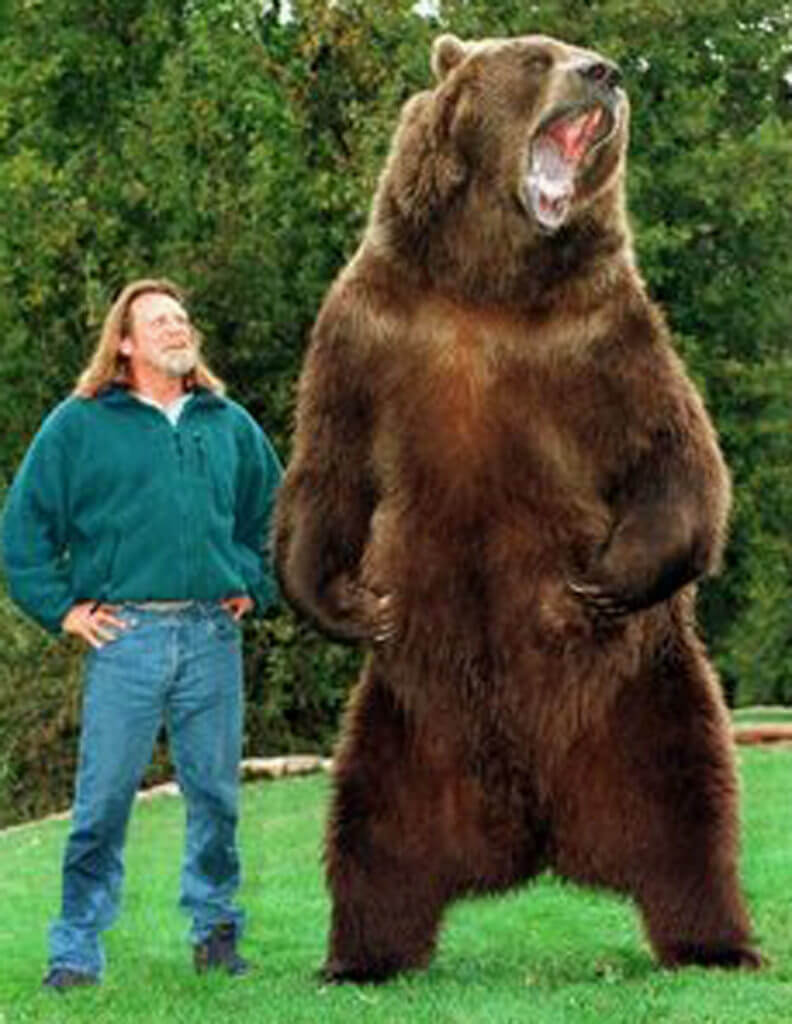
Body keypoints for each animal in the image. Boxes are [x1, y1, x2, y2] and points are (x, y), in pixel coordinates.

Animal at [274, 32, 761, 981]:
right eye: (538, 55)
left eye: (581, 52)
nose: (606, 72)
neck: (487, 281)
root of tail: (538, 833)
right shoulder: (369, 327)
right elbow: (330, 466)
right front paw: (343, 601)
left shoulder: (603, 338)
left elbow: (677, 456)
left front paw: (604, 578)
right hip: (407, 725)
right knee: (370, 836)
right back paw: (362, 956)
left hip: (647, 698)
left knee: (694, 816)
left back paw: (716, 943)